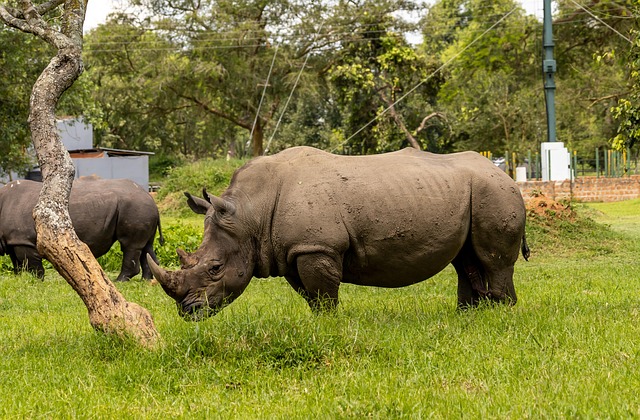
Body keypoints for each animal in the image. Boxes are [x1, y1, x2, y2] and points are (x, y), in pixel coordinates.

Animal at [0, 178, 163, 281]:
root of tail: (150, 197)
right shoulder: (13, 240)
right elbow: (17, 263)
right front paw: (20, 279)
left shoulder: (22, 239)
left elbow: (30, 263)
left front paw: (38, 280)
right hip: (140, 207)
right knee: (146, 246)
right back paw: (147, 281)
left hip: (134, 206)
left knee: (130, 245)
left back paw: (120, 281)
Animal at [148, 146, 529, 320]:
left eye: (215, 268)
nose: (187, 312)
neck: (250, 214)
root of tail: (506, 174)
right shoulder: (293, 250)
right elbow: (311, 295)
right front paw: (319, 323)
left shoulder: (317, 247)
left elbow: (324, 293)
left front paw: (329, 324)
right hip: (476, 192)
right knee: (466, 260)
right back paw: (468, 316)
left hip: (494, 192)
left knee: (493, 261)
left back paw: (501, 316)